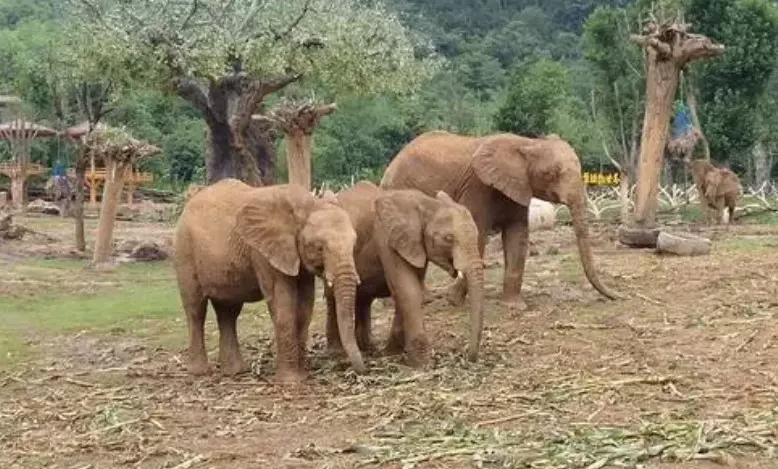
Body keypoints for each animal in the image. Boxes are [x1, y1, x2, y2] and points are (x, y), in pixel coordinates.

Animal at [173, 177, 364, 382]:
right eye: (319, 247)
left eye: (354, 243)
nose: (358, 370)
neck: (306, 204)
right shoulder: (262, 252)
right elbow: (283, 305)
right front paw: (290, 382)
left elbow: (304, 308)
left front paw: (302, 376)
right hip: (184, 251)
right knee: (196, 309)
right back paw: (200, 372)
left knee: (228, 311)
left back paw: (236, 372)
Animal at [320, 182, 478, 366]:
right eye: (448, 239)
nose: (470, 358)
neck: (426, 204)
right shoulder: (386, 239)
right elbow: (408, 290)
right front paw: (420, 362)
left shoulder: (414, 244)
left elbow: (412, 289)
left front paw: (393, 351)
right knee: (333, 297)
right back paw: (337, 353)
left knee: (363, 298)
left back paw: (368, 347)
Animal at [378, 131, 620, 308]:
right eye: (552, 174)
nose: (618, 296)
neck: (528, 143)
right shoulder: (478, 187)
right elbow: (476, 236)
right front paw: (454, 300)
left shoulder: (518, 188)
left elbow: (517, 237)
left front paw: (514, 306)